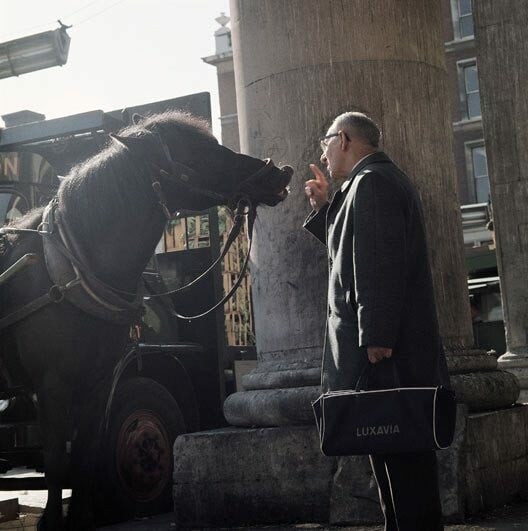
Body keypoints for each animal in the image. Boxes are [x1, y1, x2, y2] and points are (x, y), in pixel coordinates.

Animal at [0, 110, 292, 528]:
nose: (279, 173)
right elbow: (58, 460)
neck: (75, 265)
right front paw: (52, 521)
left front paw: (82, 516)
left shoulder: (101, 380)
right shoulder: (51, 384)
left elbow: (86, 454)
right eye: (200, 151)